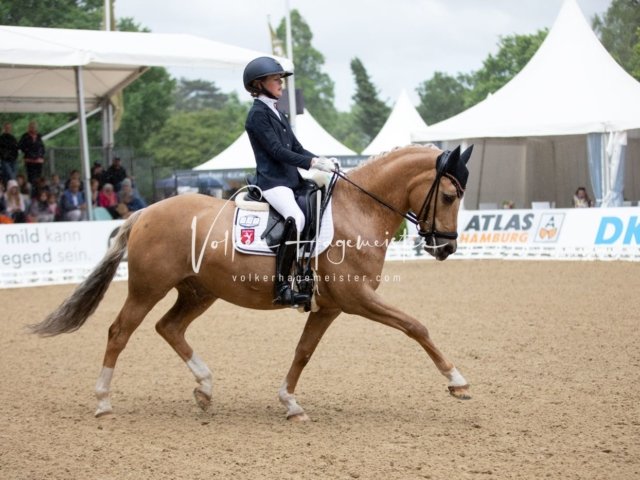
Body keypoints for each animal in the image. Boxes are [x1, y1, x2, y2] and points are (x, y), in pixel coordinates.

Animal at [30, 143, 473, 421]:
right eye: (450, 196)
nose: (446, 247)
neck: (358, 209)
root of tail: (145, 212)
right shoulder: (357, 298)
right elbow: (416, 326)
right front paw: (457, 382)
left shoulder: (329, 307)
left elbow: (303, 352)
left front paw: (290, 403)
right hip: (147, 287)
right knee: (120, 331)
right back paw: (104, 401)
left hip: (199, 291)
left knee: (169, 327)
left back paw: (205, 389)